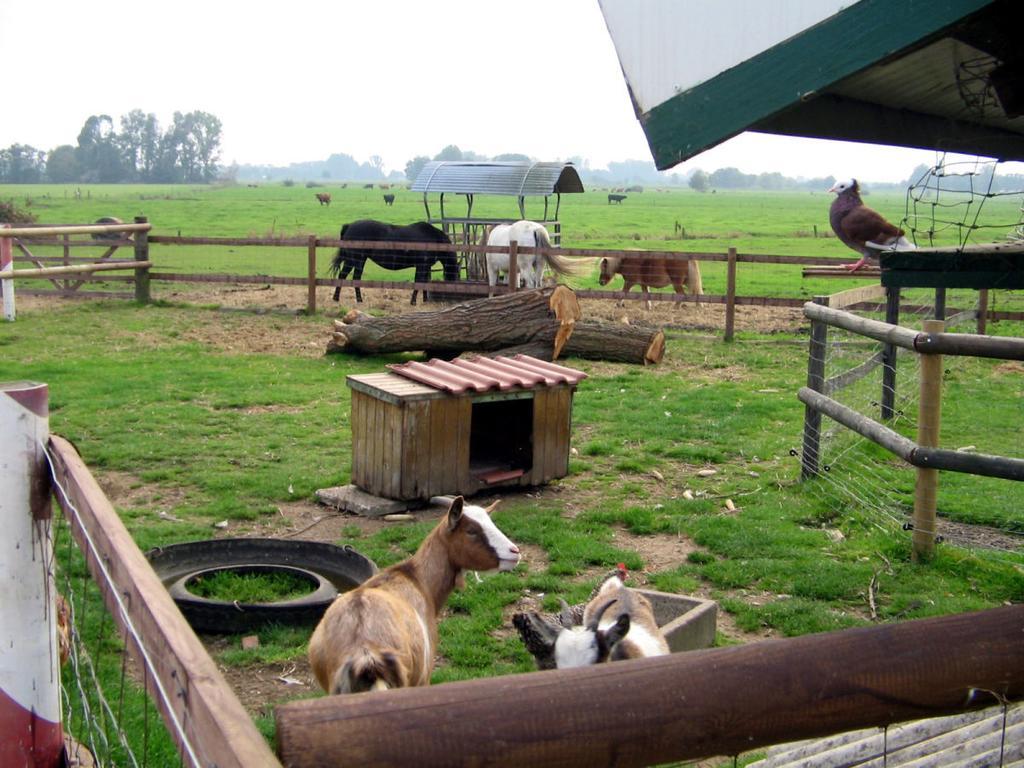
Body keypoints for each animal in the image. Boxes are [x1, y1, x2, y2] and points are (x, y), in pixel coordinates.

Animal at [329, 219, 458, 307]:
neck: (433, 238)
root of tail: (349, 226)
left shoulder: (425, 267)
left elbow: (424, 283)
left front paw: (425, 300)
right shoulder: (421, 266)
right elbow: (418, 282)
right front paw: (413, 302)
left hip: (355, 260)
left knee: (346, 276)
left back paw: (340, 298)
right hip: (356, 260)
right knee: (350, 277)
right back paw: (354, 299)